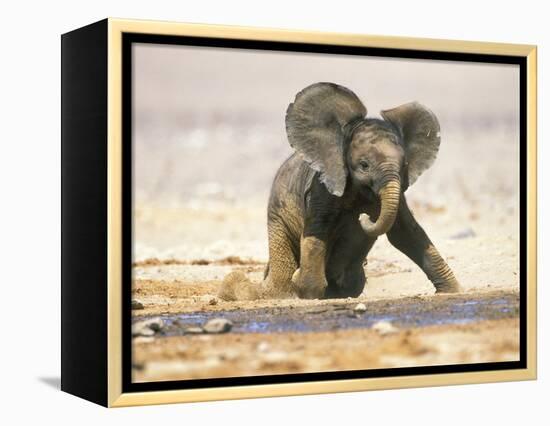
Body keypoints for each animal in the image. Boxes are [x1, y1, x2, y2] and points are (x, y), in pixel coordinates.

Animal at [220, 82, 462, 300]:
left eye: (404, 166)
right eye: (364, 165)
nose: (365, 217)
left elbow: (405, 233)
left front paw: (452, 291)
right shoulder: (321, 187)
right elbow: (318, 231)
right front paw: (308, 292)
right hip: (277, 218)